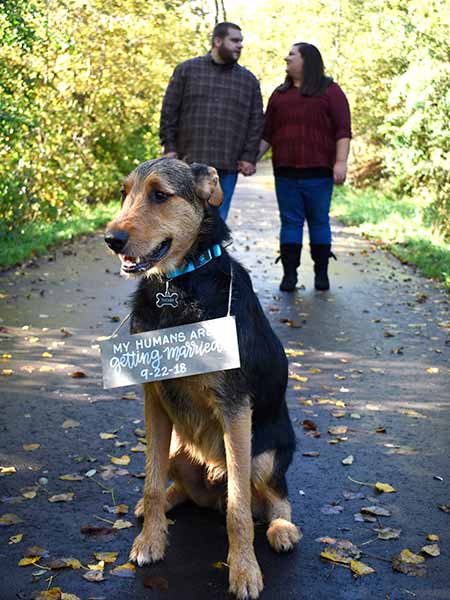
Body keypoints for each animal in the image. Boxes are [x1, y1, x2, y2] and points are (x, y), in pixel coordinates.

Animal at [105, 158, 300, 600]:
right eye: (124, 193)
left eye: (160, 195)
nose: (111, 239)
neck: (177, 287)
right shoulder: (154, 399)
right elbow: (151, 483)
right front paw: (150, 541)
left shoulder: (235, 408)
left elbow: (239, 510)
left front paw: (243, 570)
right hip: (179, 448)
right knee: (180, 489)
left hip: (263, 456)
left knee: (274, 497)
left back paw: (282, 529)